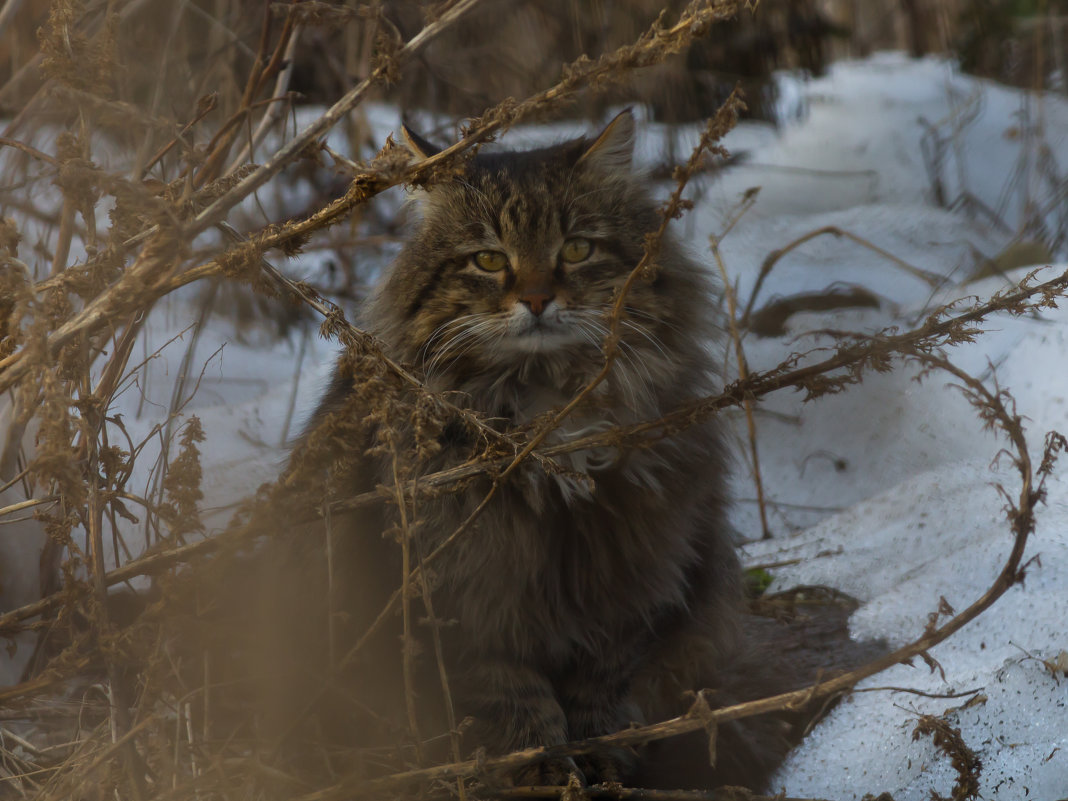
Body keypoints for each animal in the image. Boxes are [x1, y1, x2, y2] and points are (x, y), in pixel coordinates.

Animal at [256, 110, 794, 794]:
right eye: (489, 260)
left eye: (576, 249)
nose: (538, 300)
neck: (548, 416)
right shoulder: (464, 598)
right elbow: (513, 699)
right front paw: (541, 767)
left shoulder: (633, 580)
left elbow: (599, 692)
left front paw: (599, 759)